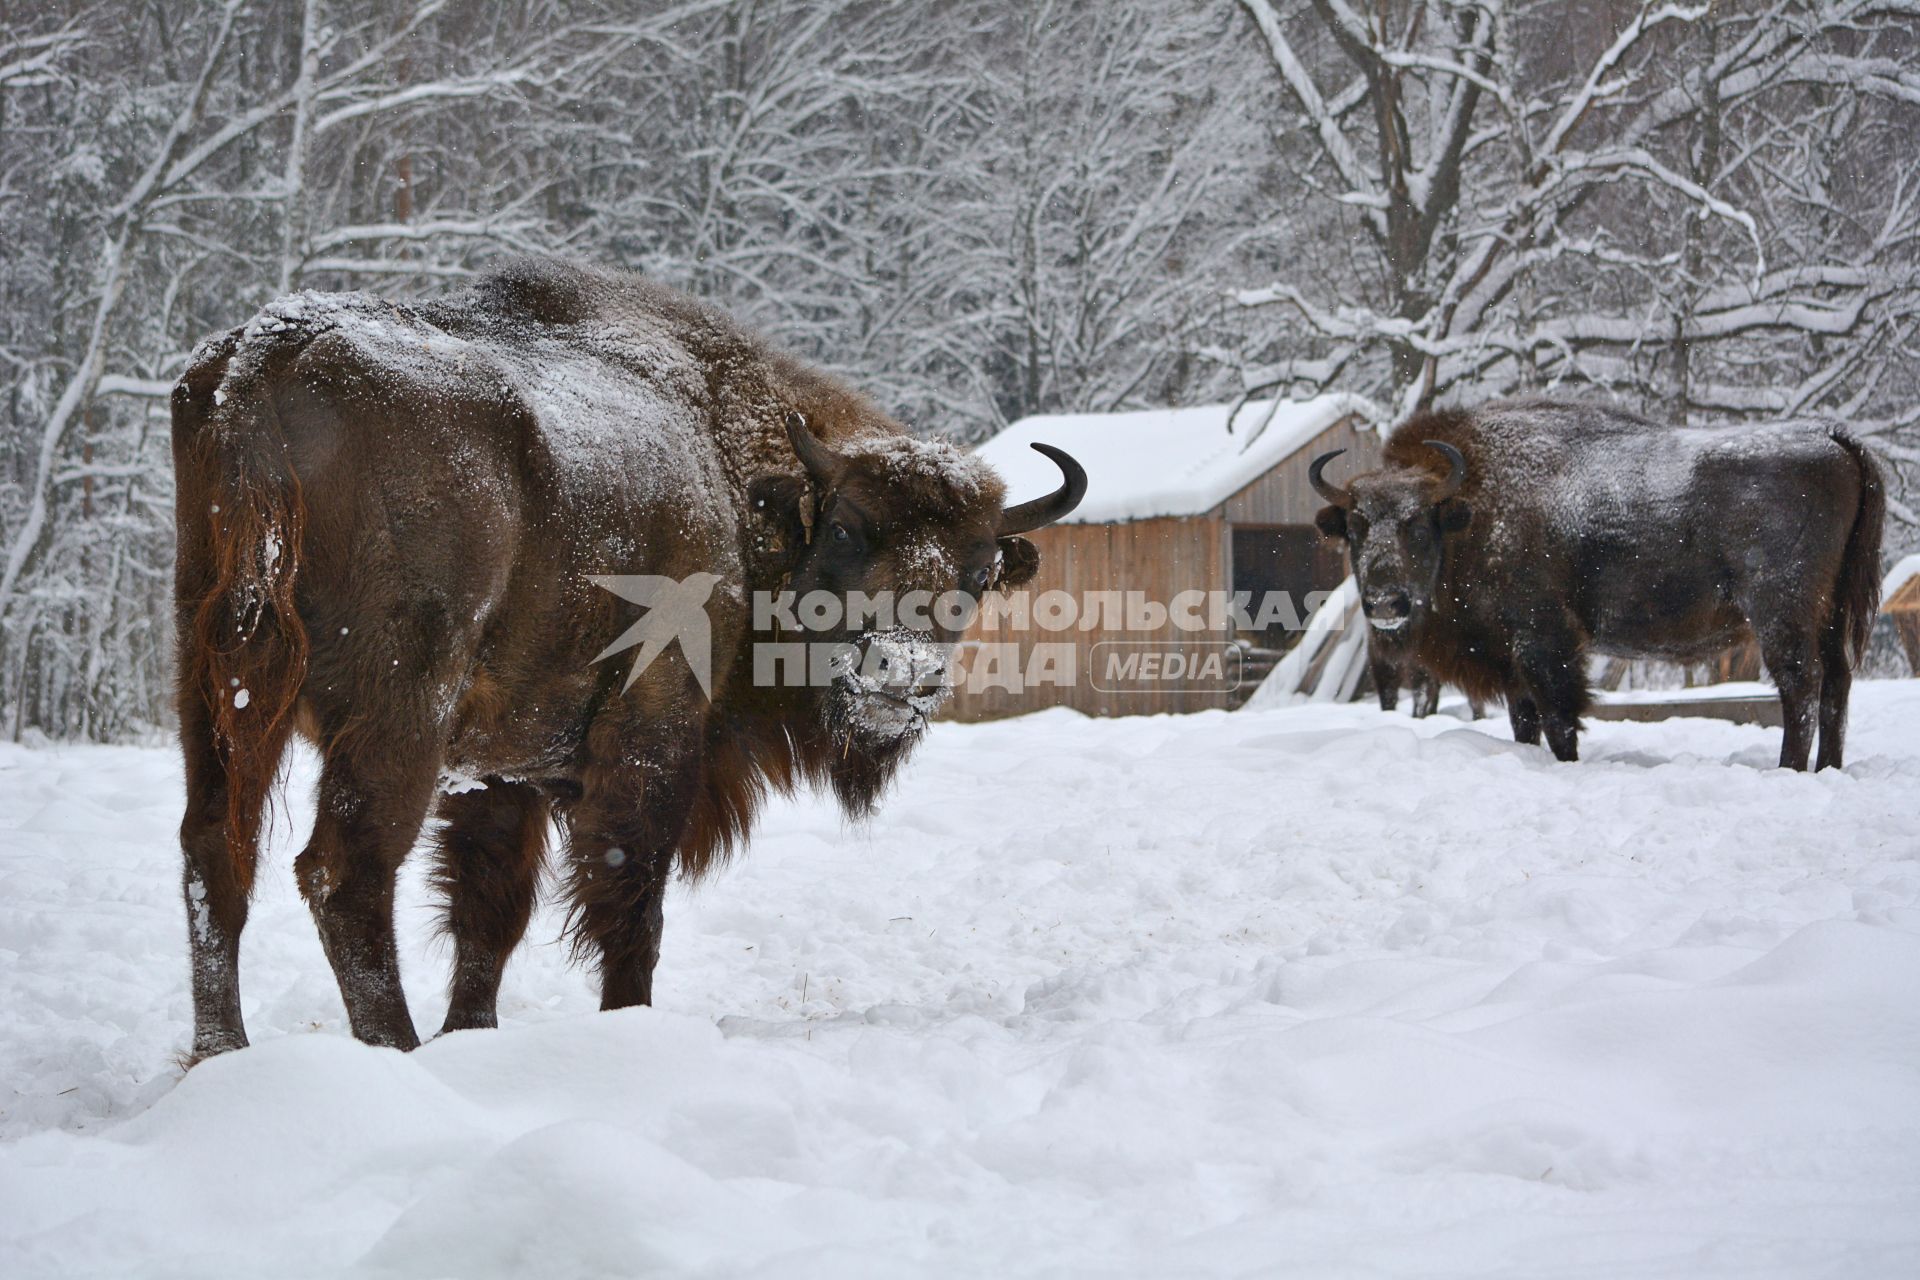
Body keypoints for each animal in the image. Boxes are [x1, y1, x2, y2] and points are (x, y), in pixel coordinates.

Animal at [172, 255, 1090, 1059]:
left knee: (215, 850)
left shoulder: (500, 771)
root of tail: (273, 349)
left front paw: (472, 1033)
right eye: (844, 531)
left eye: (979, 571)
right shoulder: (653, 735)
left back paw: (220, 1054)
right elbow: (630, 902)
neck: (732, 477)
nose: (901, 675)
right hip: (398, 709)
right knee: (343, 872)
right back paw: (392, 1051)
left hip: (217, 683)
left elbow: (488, 909)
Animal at [1313, 395, 1881, 767]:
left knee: (1800, 683)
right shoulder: (1511, 659)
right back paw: (1828, 768)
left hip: (1780, 610)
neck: (1472, 508)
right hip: (1830, 612)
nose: (1386, 602)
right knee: (1837, 682)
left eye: (1416, 523)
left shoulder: (1544, 643)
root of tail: (1829, 436)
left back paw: (1789, 768)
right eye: (1356, 527)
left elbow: (1559, 718)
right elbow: (1524, 722)